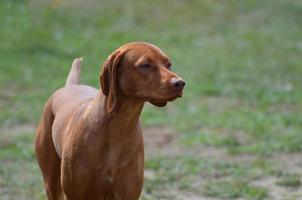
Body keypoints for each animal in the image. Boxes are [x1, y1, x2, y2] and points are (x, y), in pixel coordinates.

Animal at [36, 41, 186, 199]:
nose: (180, 83)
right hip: (52, 184)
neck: (119, 127)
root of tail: (71, 86)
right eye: (145, 65)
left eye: (168, 64)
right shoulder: (75, 194)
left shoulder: (128, 194)